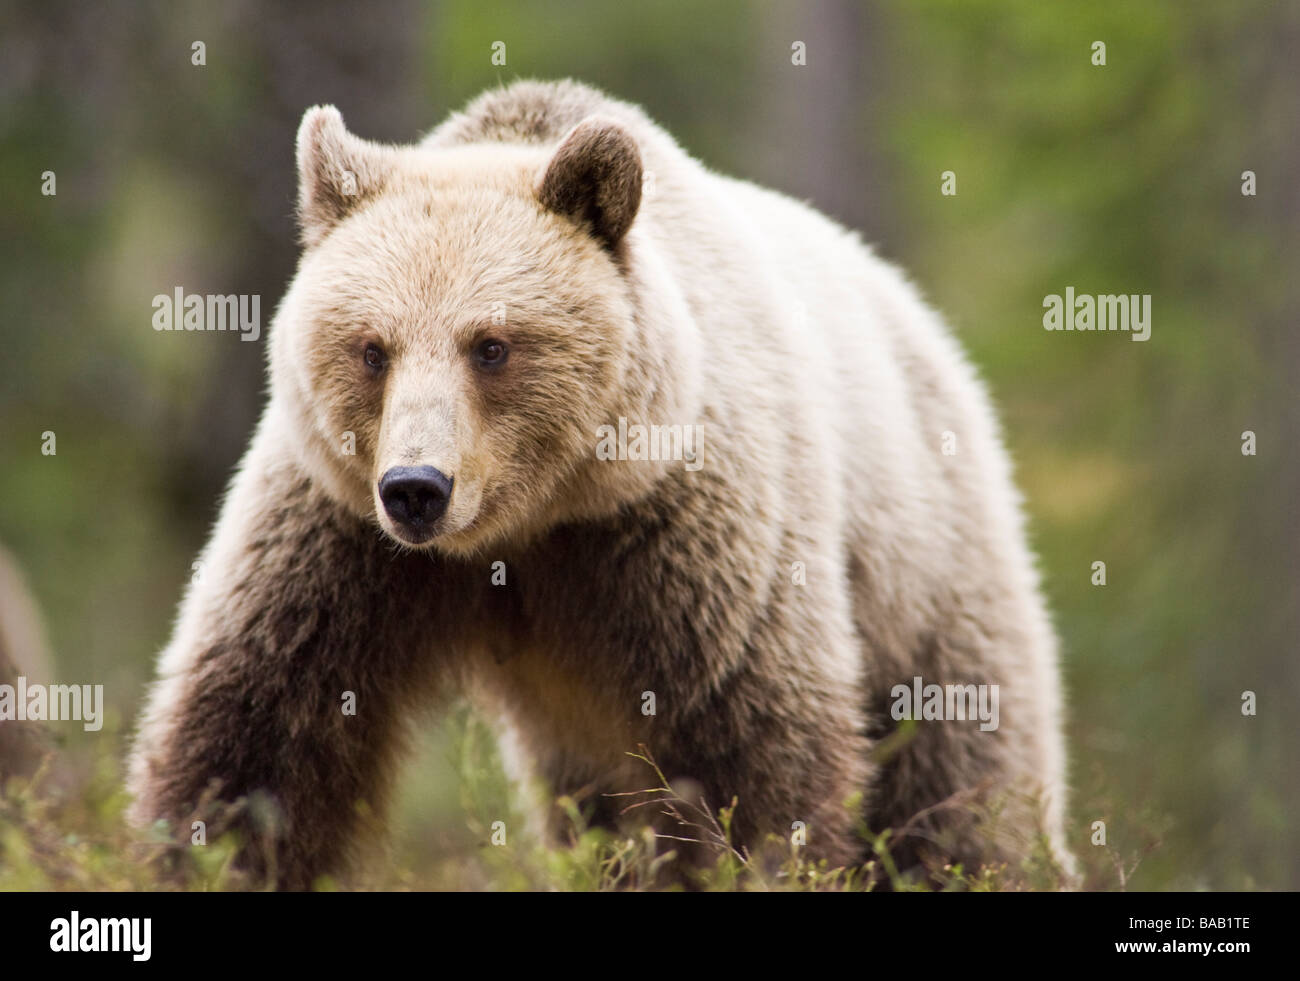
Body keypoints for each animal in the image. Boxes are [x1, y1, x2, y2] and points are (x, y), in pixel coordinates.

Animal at [127, 79, 1072, 890]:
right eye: (371, 347)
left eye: (492, 345)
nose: (417, 487)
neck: (528, 523)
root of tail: (913, 307)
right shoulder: (338, 534)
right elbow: (260, 731)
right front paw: (204, 853)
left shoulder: (691, 536)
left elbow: (756, 754)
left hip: (932, 561)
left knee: (961, 770)